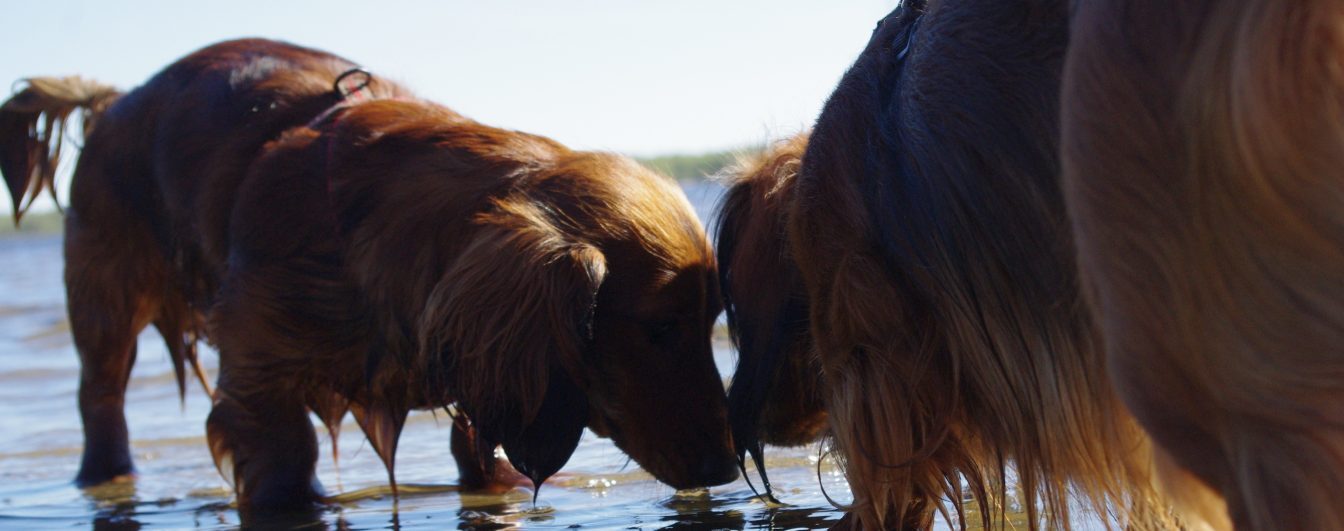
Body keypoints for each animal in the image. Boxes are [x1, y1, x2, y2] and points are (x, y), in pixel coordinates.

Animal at [0, 38, 737, 516]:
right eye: (659, 328)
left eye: (712, 323)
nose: (728, 467)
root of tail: (116, 98)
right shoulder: (259, 381)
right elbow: (282, 464)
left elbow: (476, 446)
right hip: (105, 306)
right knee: (100, 403)